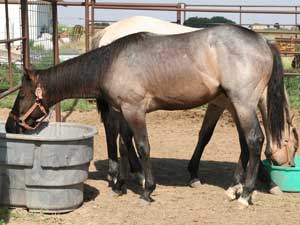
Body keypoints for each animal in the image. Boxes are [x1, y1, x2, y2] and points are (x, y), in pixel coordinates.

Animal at [5, 24, 284, 206]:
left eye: (22, 95)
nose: (10, 126)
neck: (111, 62)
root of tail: (263, 41)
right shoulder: (122, 111)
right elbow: (123, 144)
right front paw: (120, 185)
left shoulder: (134, 110)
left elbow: (142, 147)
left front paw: (147, 190)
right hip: (238, 105)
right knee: (249, 143)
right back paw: (239, 189)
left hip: (243, 103)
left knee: (255, 140)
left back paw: (246, 194)